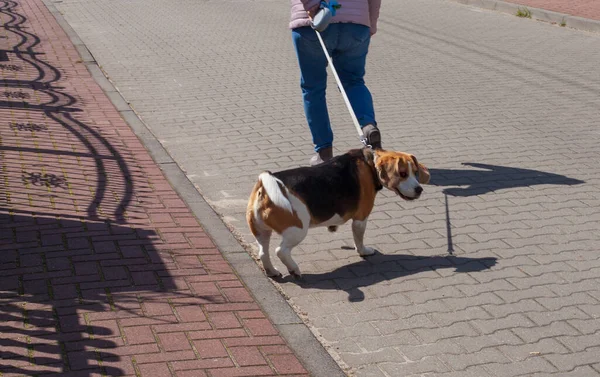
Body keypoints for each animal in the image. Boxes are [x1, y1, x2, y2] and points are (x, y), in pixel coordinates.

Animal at [246, 147, 428, 276]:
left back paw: (272, 271)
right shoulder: (361, 219)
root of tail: (266, 183)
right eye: (402, 174)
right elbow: (359, 239)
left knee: (263, 253)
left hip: (261, 231)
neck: (370, 163)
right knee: (281, 251)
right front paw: (364, 252)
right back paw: (294, 269)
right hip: (297, 230)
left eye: (415, 173)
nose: (419, 190)